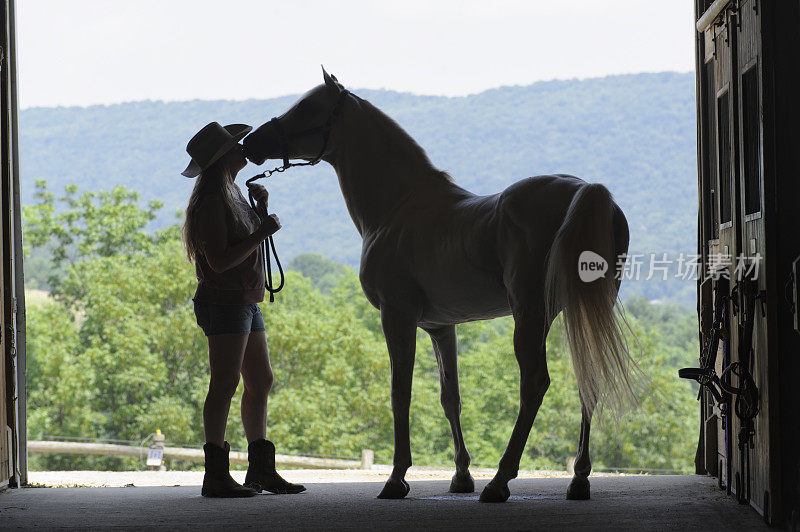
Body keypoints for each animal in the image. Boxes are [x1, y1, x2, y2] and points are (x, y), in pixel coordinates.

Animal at [241, 67, 640, 502]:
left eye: (307, 107)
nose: (250, 143)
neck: (398, 208)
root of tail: (583, 191)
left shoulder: (397, 317)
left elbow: (401, 392)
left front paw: (397, 477)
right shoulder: (440, 325)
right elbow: (451, 397)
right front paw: (461, 476)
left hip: (531, 315)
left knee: (534, 383)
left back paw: (500, 481)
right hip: (579, 311)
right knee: (587, 379)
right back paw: (578, 479)